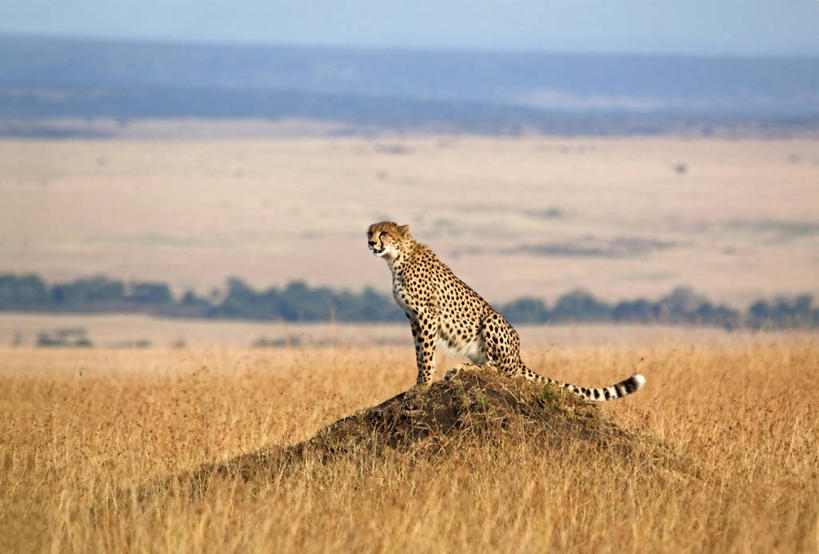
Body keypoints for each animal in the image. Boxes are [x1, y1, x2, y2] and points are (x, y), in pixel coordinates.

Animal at [366, 220, 648, 402]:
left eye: (384, 233)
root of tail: (518, 355)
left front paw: (422, 385)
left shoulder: (426, 315)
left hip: (492, 320)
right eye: (370, 232)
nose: (370, 243)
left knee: (499, 369)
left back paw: (462, 369)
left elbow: (425, 354)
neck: (396, 258)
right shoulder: (413, 318)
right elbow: (419, 352)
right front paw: (420, 381)